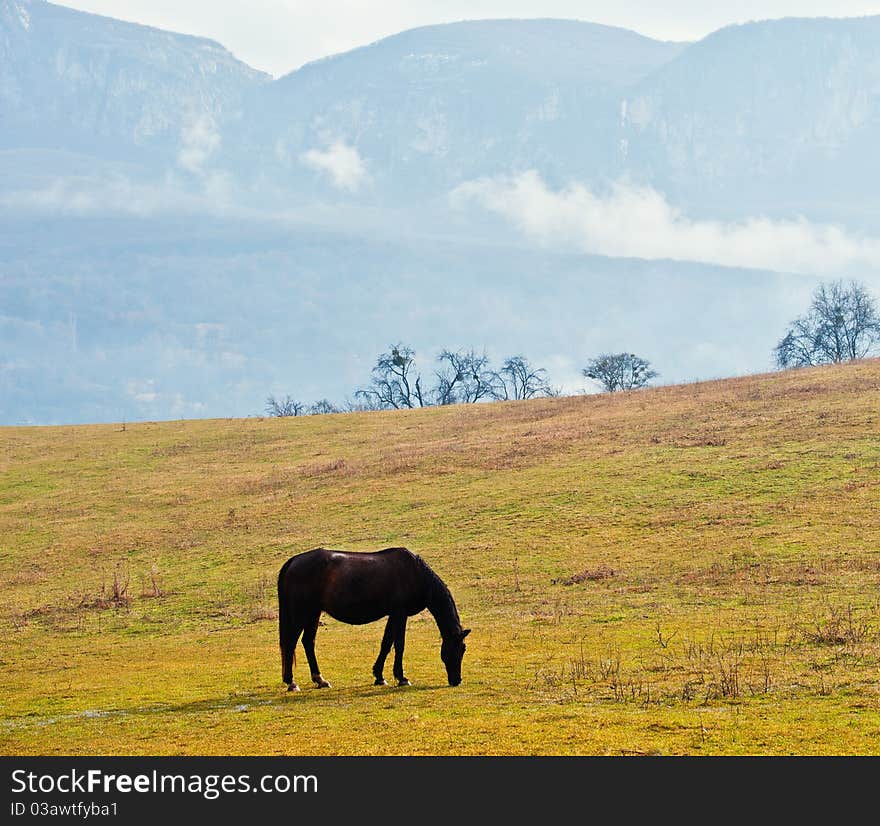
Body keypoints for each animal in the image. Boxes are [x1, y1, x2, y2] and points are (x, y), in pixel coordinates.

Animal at [278, 548, 470, 688]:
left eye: (463, 649)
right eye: (458, 649)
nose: (457, 681)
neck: (415, 573)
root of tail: (294, 561)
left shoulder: (393, 615)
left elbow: (386, 644)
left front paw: (379, 676)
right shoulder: (400, 613)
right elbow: (399, 645)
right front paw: (402, 678)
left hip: (313, 612)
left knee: (308, 642)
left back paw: (320, 680)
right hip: (302, 612)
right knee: (291, 642)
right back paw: (291, 682)